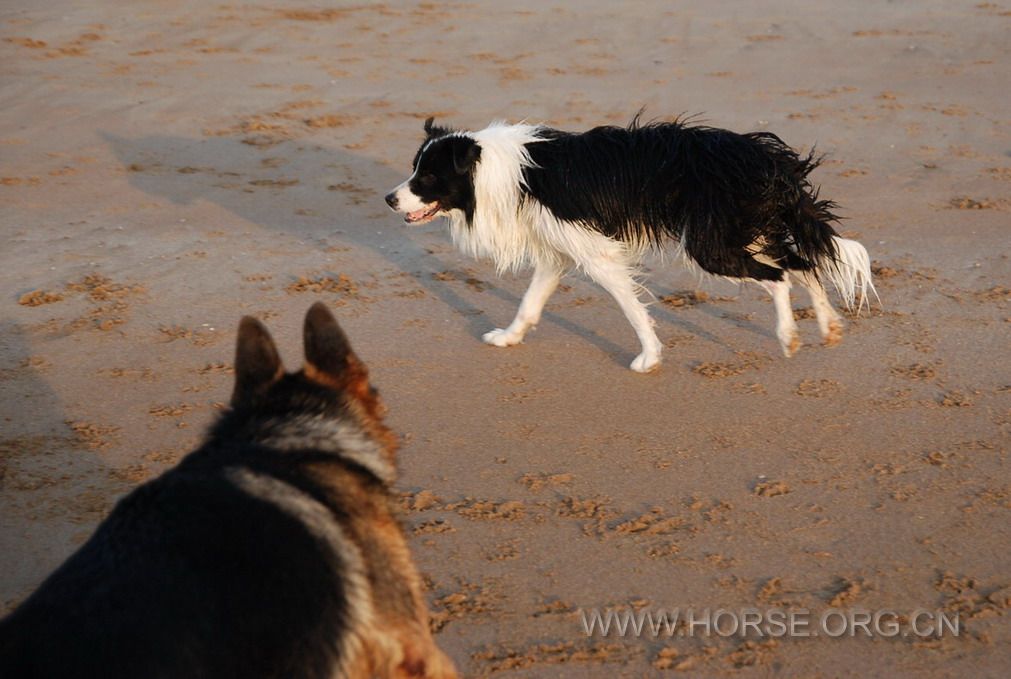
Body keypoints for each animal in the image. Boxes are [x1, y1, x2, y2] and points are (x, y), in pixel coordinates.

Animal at [382, 116, 873, 371]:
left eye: (427, 177)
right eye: (415, 169)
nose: (389, 199)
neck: (497, 171)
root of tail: (765, 155)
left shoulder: (596, 253)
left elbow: (632, 308)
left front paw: (649, 357)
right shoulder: (558, 250)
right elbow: (530, 302)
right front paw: (508, 337)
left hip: (711, 245)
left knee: (780, 276)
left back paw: (789, 336)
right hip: (744, 233)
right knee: (803, 266)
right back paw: (829, 328)